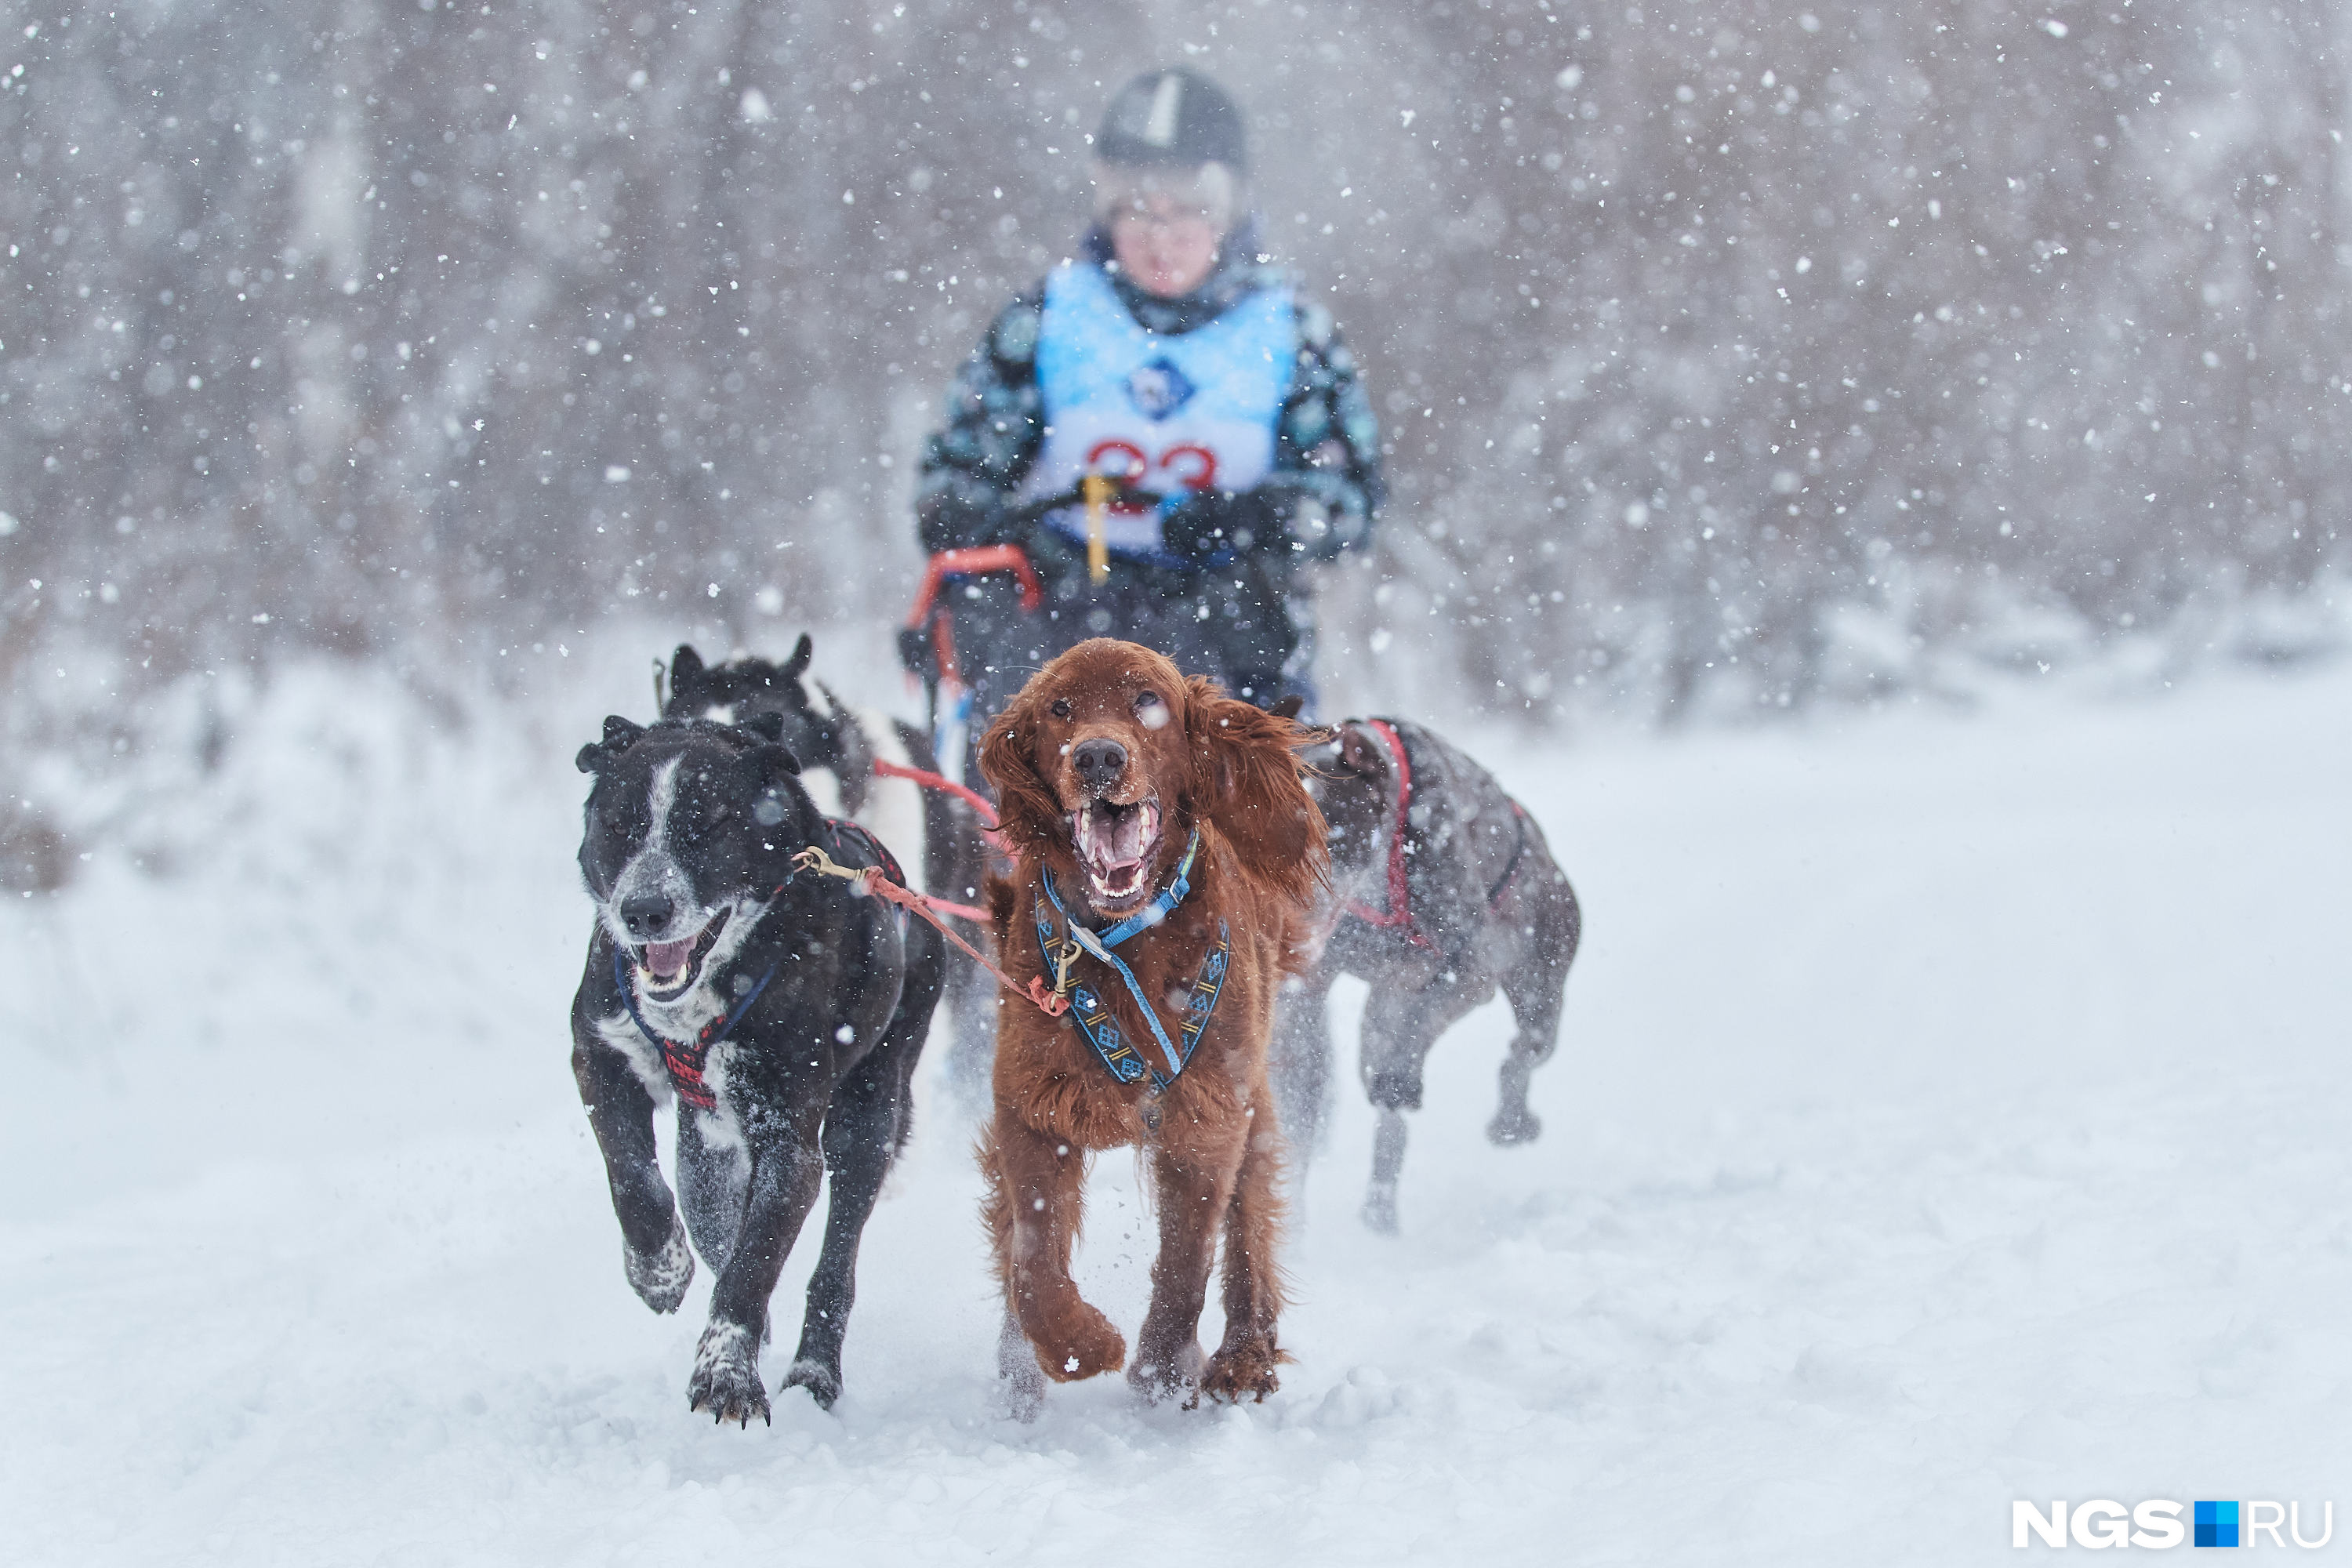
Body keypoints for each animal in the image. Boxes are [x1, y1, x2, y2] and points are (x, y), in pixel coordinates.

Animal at [567, 710, 936, 1420]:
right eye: (621, 824)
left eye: (709, 824)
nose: (643, 911)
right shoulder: (599, 1055)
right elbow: (633, 1178)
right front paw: (658, 1269)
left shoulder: (789, 1140)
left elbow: (755, 1262)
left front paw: (726, 1373)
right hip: (706, 1149)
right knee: (708, 1215)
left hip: (868, 1119)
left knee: (833, 1265)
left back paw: (815, 1372)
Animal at [983, 639, 1336, 1410]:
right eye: (1059, 708)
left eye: (1148, 701)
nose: (1097, 757)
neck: (1124, 941)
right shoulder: (1030, 1101)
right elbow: (1032, 1256)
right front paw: (1079, 1346)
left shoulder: (1208, 1112)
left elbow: (1188, 1257)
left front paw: (1162, 1368)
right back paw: (1018, 1377)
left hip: (1251, 1098)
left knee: (1249, 1217)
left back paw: (1244, 1356)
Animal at [1270, 714, 1581, 1241]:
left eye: (1328, 837)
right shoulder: (1306, 991)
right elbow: (1300, 1103)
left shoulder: (1469, 970)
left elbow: (1420, 1031)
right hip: (1381, 1015)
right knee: (1388, 1116)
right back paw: (1379, 1214)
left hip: (1540, 980)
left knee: (1523, 1051)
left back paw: (1510, 1120)